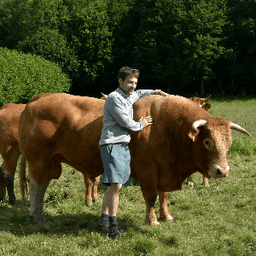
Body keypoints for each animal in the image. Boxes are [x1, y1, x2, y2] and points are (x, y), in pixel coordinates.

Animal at [18, 93, 250, 225]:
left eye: (229, 142)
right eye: (207, 141)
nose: (222, 171)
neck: (166, 126)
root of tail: (38, 99)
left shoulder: (165, 169)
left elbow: (164, 195)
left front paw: (166, 215)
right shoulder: (148, 171)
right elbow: (151, 197)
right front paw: (153, 220)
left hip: (50, 162)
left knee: (43, 187)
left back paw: (40, 214)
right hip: (38, 161)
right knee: (36, 186)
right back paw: (36, 215)